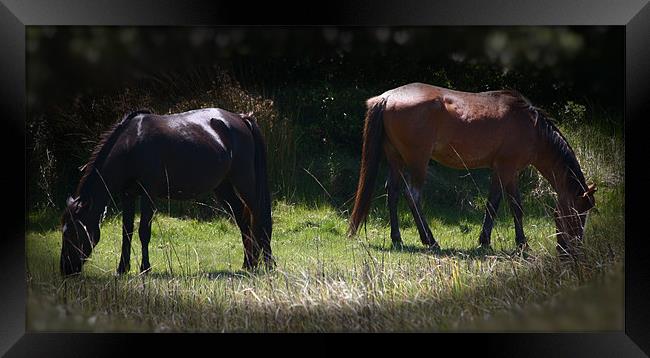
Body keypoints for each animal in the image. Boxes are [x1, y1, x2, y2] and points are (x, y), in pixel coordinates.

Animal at [59, 107, 272, 276]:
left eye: (74, 233)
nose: (65, 270)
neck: (132, 146)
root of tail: (240, 118)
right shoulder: (128, 195)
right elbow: (127, 231)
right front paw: (122, 268)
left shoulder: (148, 194)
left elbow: (144, 231)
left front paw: (145, 268)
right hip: (223, 186)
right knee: (242, 219)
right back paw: (249, 264)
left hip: (244, 181)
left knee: (259, 217)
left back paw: (268, 264)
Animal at [346, 83, 596, 258]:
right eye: (579, 212)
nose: (572, 248)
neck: (532, 128)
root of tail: (387, 97)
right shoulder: (507, 169)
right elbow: (505, 205)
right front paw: (509, 242)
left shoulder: (505, 171)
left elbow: (504, 205)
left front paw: (501, 241)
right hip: (418, 161)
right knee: (412, 195)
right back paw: (430, 240)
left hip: (396, 159)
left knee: (394, 193)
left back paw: (397, 238)